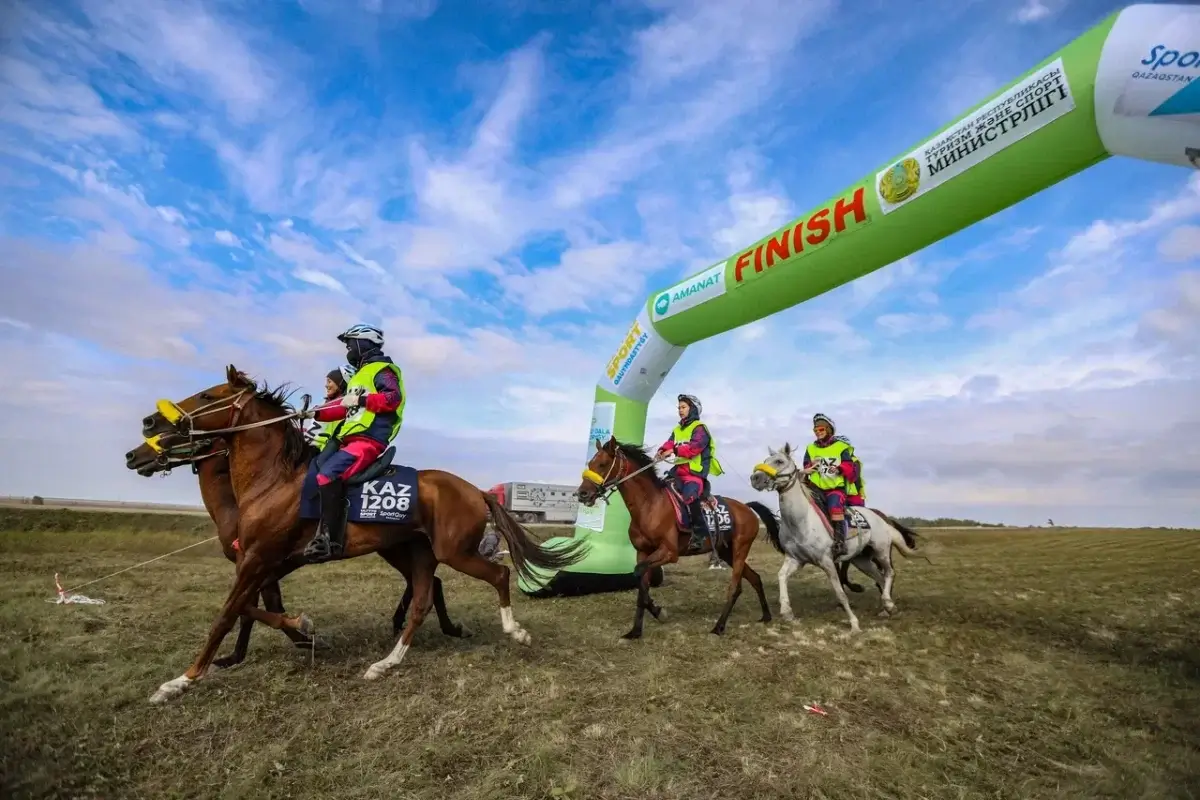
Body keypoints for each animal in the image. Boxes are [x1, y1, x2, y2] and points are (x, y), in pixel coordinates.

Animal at [125, 434, 468, 671]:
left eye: (171, 434)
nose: (132, 456)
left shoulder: (257, 564)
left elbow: (249, 608)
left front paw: (303, 636)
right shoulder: (258, 567)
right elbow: (256, 608)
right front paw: (239, 654)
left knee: (427, 582)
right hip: (394, 548)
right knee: (428, 582)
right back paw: (435, 626)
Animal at [573, 434, 777, 642]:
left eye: (603, 464)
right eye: (591, 463)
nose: (582, 494)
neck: (650, 505)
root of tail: (747, 507)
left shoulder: (669, 553)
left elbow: (639, 574)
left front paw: (658, 612)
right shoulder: (643, 552)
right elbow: (640, 583)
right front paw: (636, 630)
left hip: (740, 550)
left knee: (735, 587)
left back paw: (719, 626)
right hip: (727, 552)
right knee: (755, 578)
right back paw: (766, 615)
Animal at [748, 443, 926, 633]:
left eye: (779, 461)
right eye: (766, 460)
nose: (755, 478)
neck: (801, 521)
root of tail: (882, 518)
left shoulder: (827, 561)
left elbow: (840, 593)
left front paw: (854, 624)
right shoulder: (795, 559)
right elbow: (781, 576)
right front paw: (787, 611)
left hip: (881, 551)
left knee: (889, 573)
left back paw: (889, 604)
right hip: (861, 560)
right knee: (879, 578)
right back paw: (886, 608)